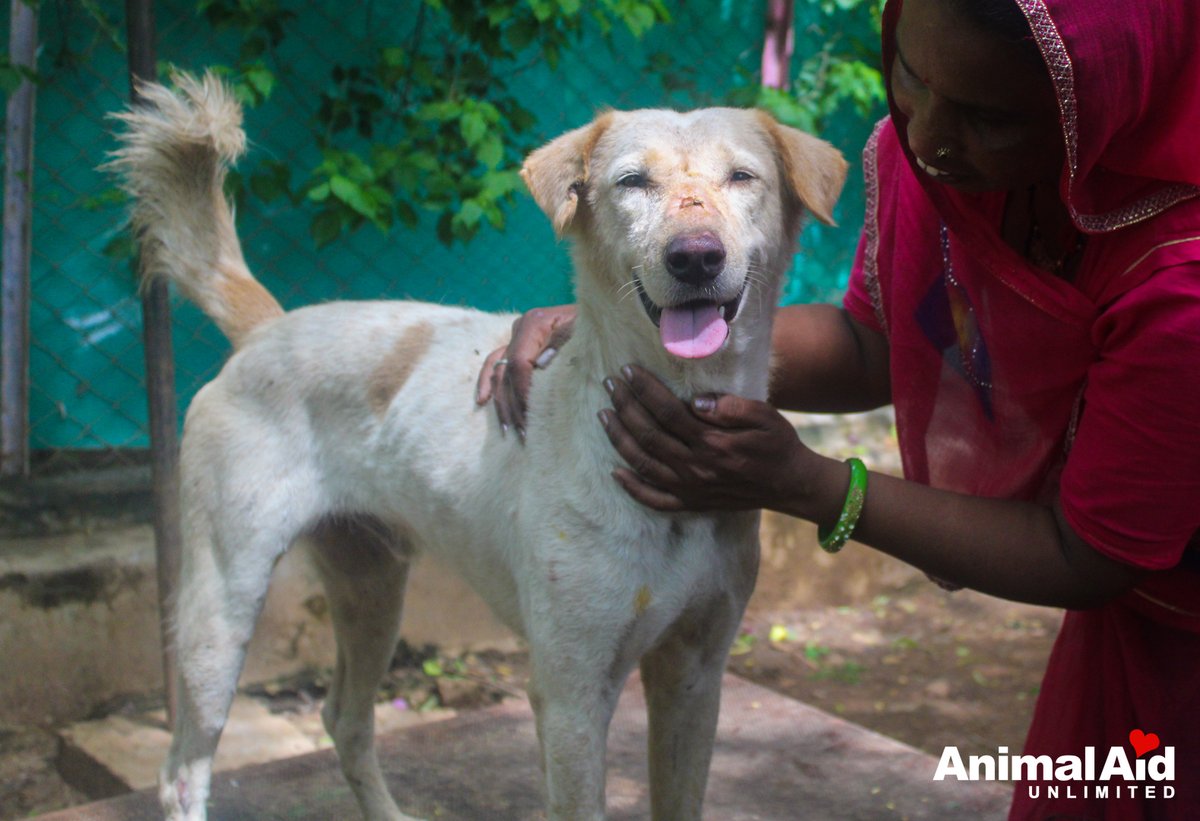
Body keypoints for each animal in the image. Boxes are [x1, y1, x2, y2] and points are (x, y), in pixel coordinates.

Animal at [110, 72, 844, 820]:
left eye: (743, 176)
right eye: (632, 182)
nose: (695, 256)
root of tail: (266, 328)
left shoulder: (695, 673)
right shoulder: (571, 695)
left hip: (372, 589)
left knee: (344, 718)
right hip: (221, 608)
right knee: (183, 768)